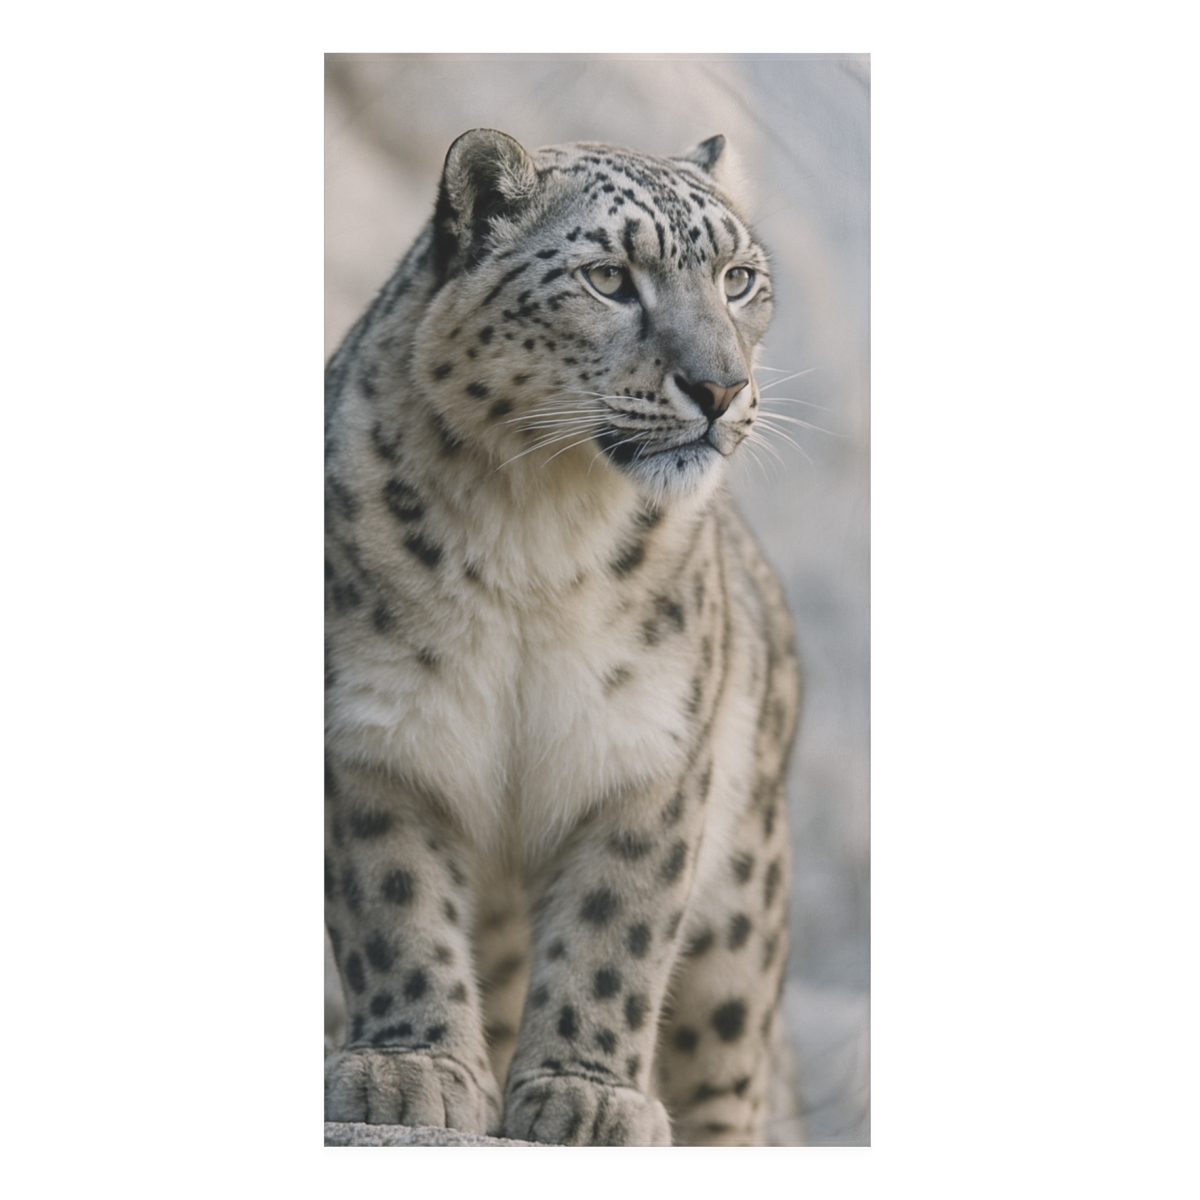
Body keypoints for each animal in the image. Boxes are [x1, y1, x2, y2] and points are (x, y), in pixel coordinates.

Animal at [323, 128, 801, 1146]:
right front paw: (410, 1071)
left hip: (744, 919)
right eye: (609, 277)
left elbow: (614, 933)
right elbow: (395, 908)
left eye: (738, 278)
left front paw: (588, 1097)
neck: (537, 535)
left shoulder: (648, 755)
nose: (720, 386)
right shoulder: (374, 737)